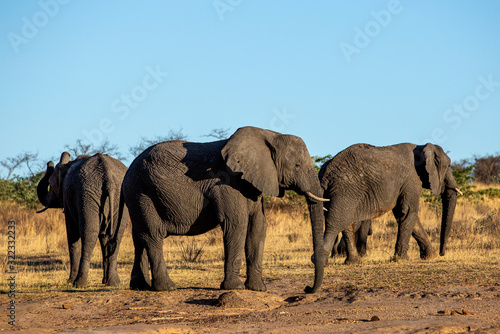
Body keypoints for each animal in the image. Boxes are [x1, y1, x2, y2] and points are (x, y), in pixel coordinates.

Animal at [37, 153, 130, 288]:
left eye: (50, 183)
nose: (49, 162)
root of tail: (108, 179)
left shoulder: (68, 200)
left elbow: (72, 236)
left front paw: (69, 281)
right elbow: (104, 238)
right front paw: (105, 281)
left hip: (87, 196)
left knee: (89, 236)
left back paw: (79, 284)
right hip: (118, 197)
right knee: (115, 237)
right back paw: (113, 283)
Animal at [123, 125, 328, 292]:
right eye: (297, 165)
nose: (307, 288)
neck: (268, 134)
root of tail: (128, 171)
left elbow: (258, 226)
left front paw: (258, 289)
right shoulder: (226, 183)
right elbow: (237, 223)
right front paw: (235, 287)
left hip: (138, 195)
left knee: (139, 236)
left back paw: (140, 286)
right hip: (142, 192)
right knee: (153, 234)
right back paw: (167, 288)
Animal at [318, 142, 462, 262]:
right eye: (448, 166)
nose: (442, 253)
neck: (422, 146)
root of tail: (325, 174)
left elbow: (407, 216)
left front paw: (430, 256)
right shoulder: (412, 179)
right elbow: (408, 212)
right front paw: (403, 259)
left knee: (347, 223)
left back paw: (353, 262)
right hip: (346, 190)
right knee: (338, 221)